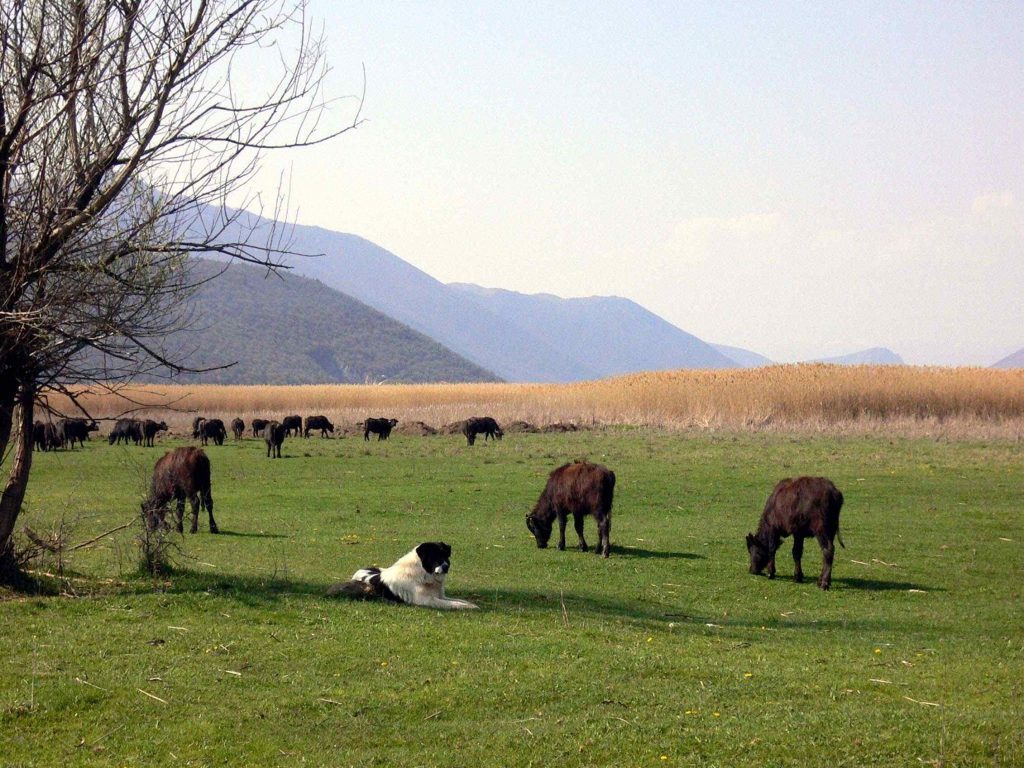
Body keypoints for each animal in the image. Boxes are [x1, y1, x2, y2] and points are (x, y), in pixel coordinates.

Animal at [327, 544, 479, 610]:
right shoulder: (427, 600)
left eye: (445, 555)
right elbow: (452, 604)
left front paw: (471, 604)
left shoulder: (441, 596)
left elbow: (458, 600)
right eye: (435, 557)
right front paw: (469, 607)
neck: (422, 574)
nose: (446, 566)